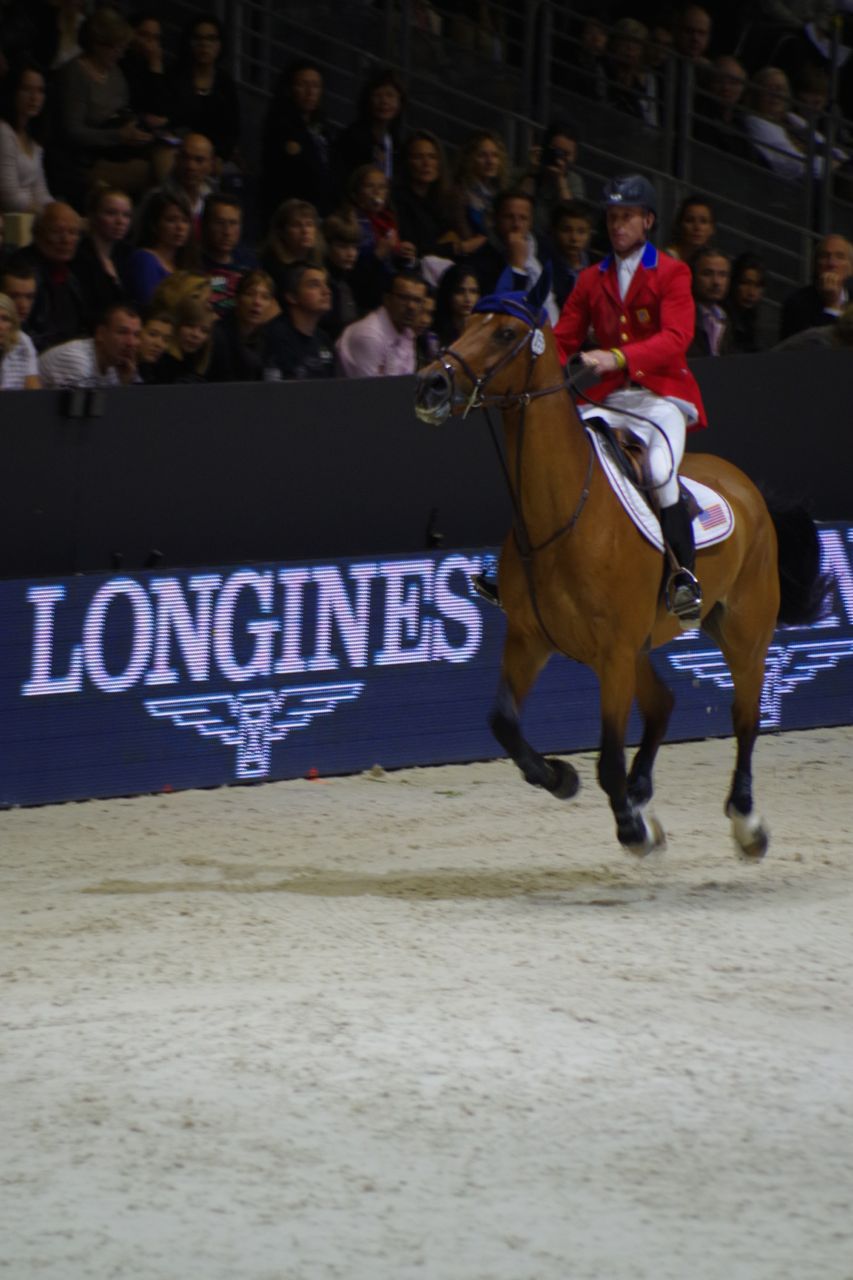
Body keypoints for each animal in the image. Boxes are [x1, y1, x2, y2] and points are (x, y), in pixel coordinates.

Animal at [414, 278, 824, 859]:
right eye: (467, 321)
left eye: (504, 333)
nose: (430, 383)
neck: (562, 512)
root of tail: (747, 487)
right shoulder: (531, 639)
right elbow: (503, 724)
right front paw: (562, 779)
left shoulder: (611, 654)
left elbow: (607, 757)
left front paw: (630, 827)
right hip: (639, 646)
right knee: (664, 705)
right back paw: (642, 793)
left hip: (742, 632)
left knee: (746, 720)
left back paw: (745, 822)